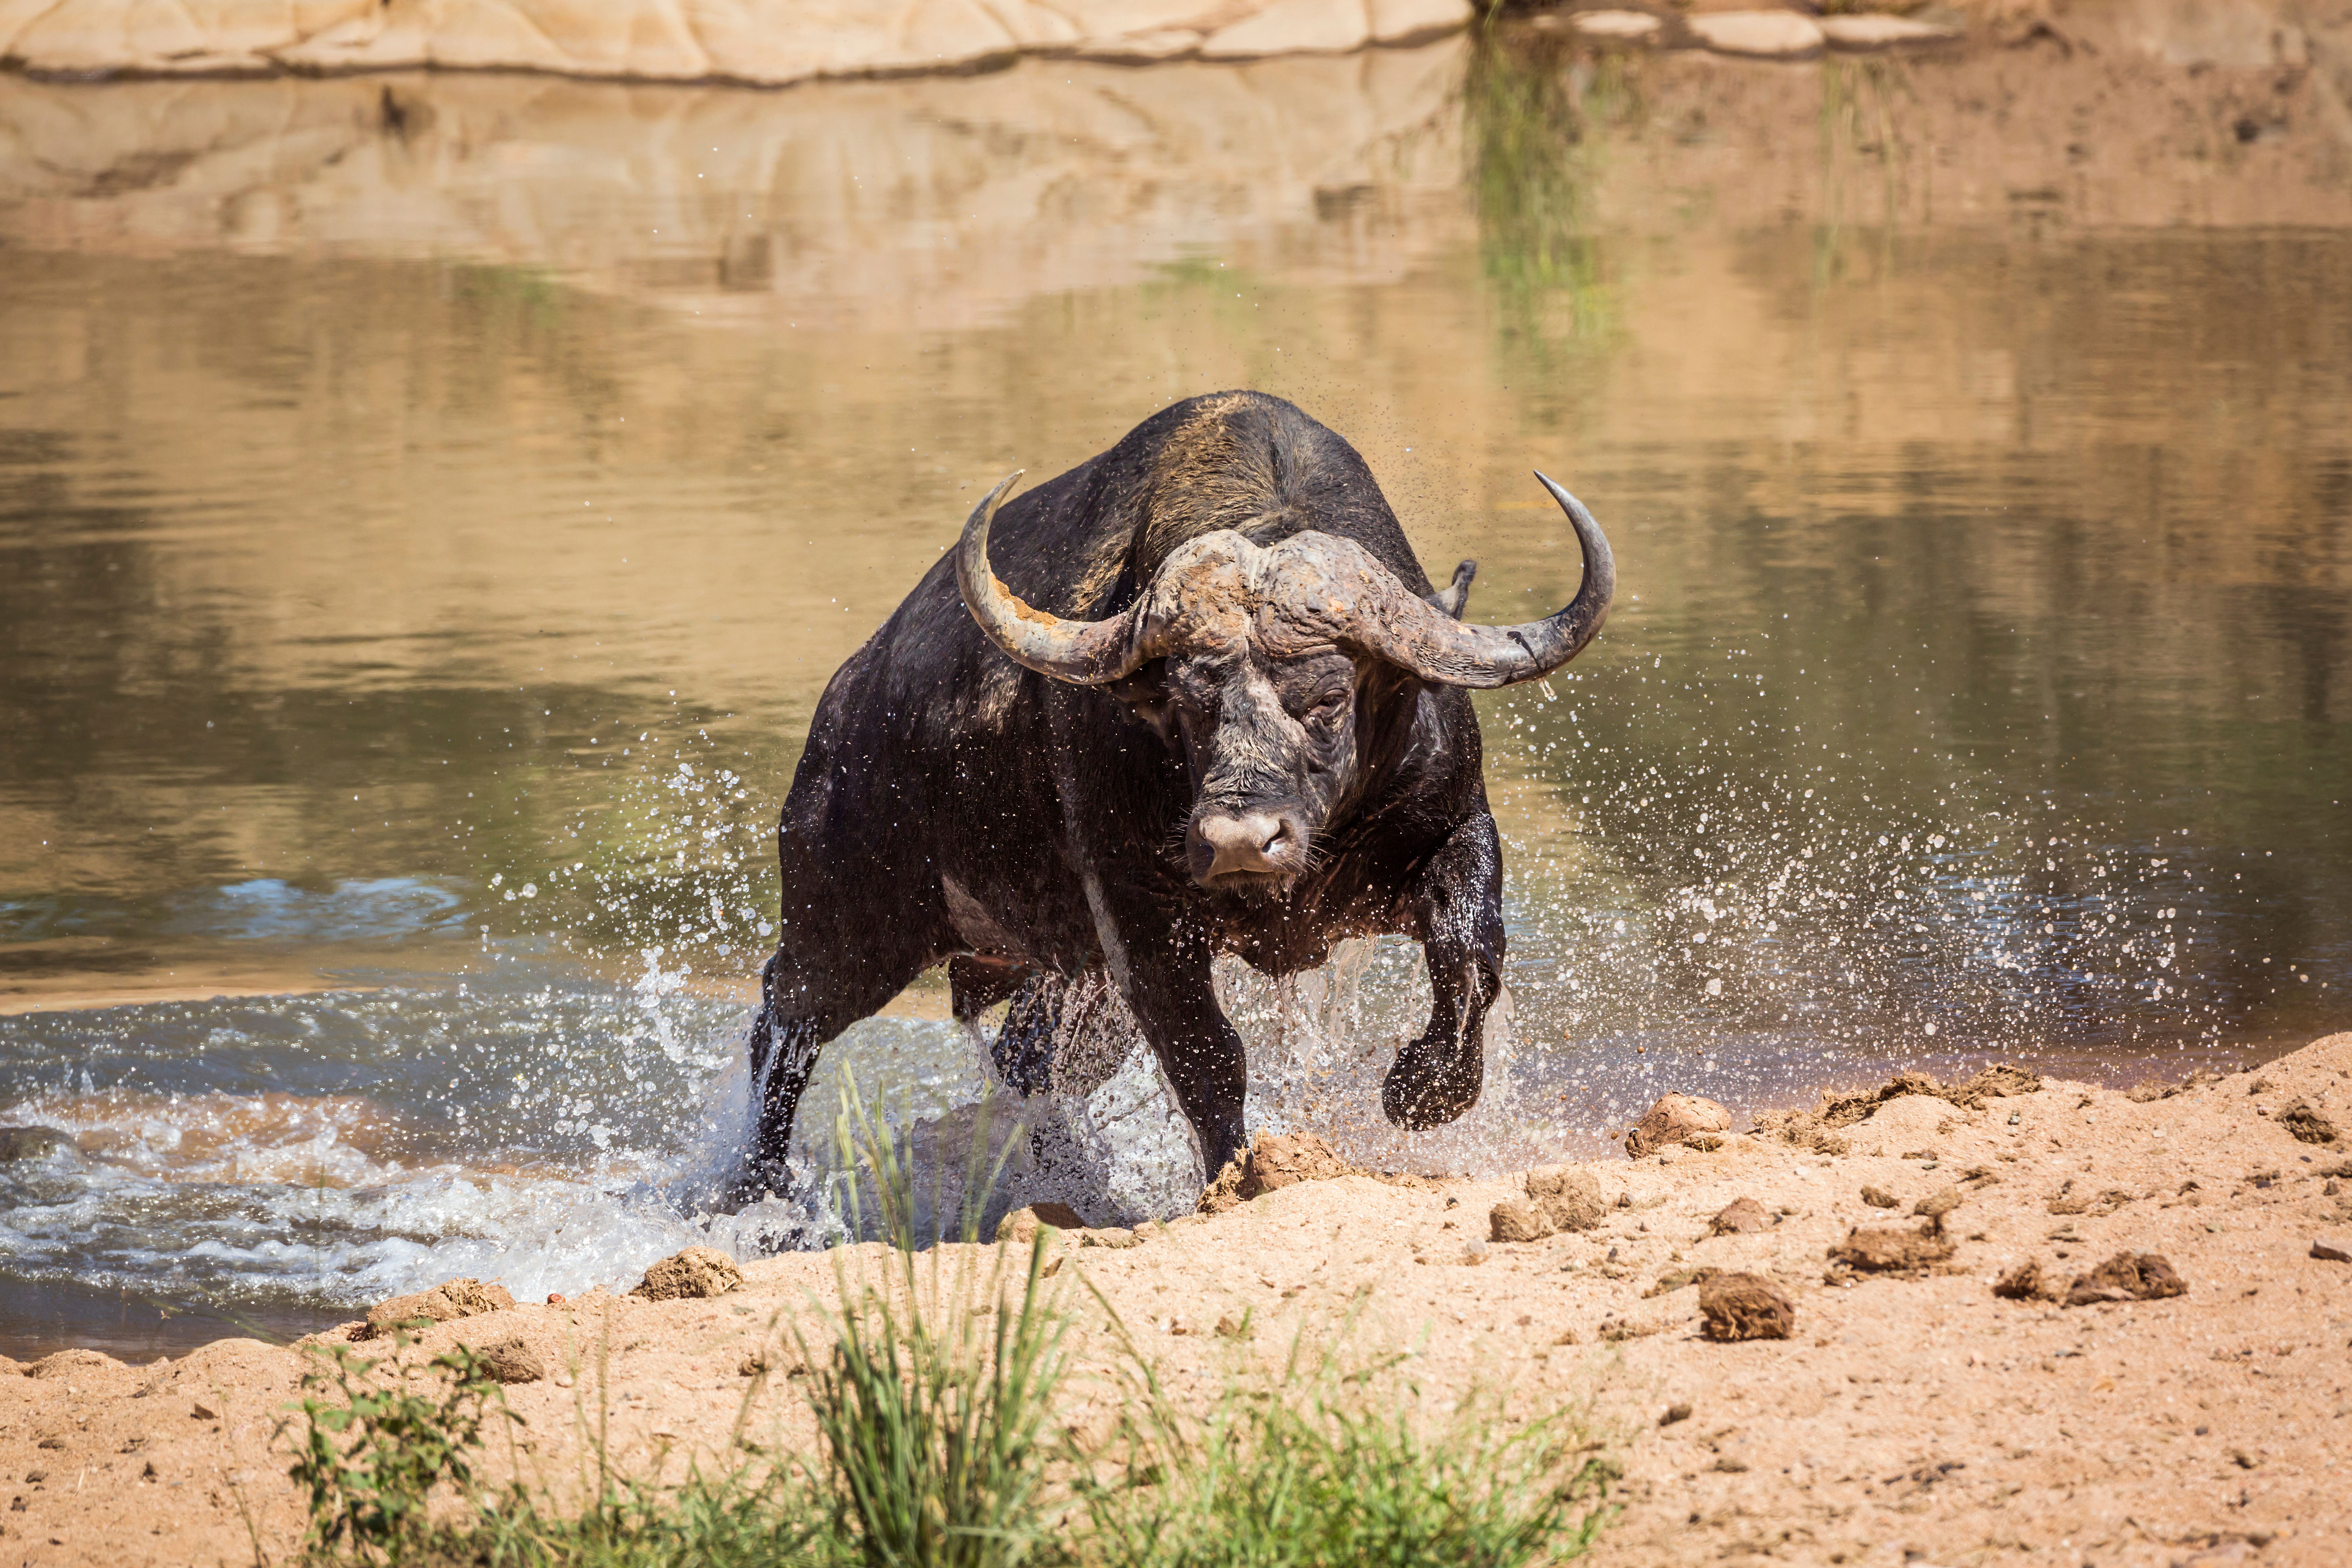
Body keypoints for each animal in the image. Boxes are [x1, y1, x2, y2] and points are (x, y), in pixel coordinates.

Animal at [748, 390, 1612, 1192]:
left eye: (1330, 696)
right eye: (1186, 702)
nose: (1240, 842)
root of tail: (845, 704)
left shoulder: (1453, 825)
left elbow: (1471, 954)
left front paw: (1421, 1090)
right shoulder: (1137, 911)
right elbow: (1206, 1054)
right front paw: (1237, 1174)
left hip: (1064, 976)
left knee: (1028, 1060)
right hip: (848, 927)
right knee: (784, 1030)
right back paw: (758, 1194)